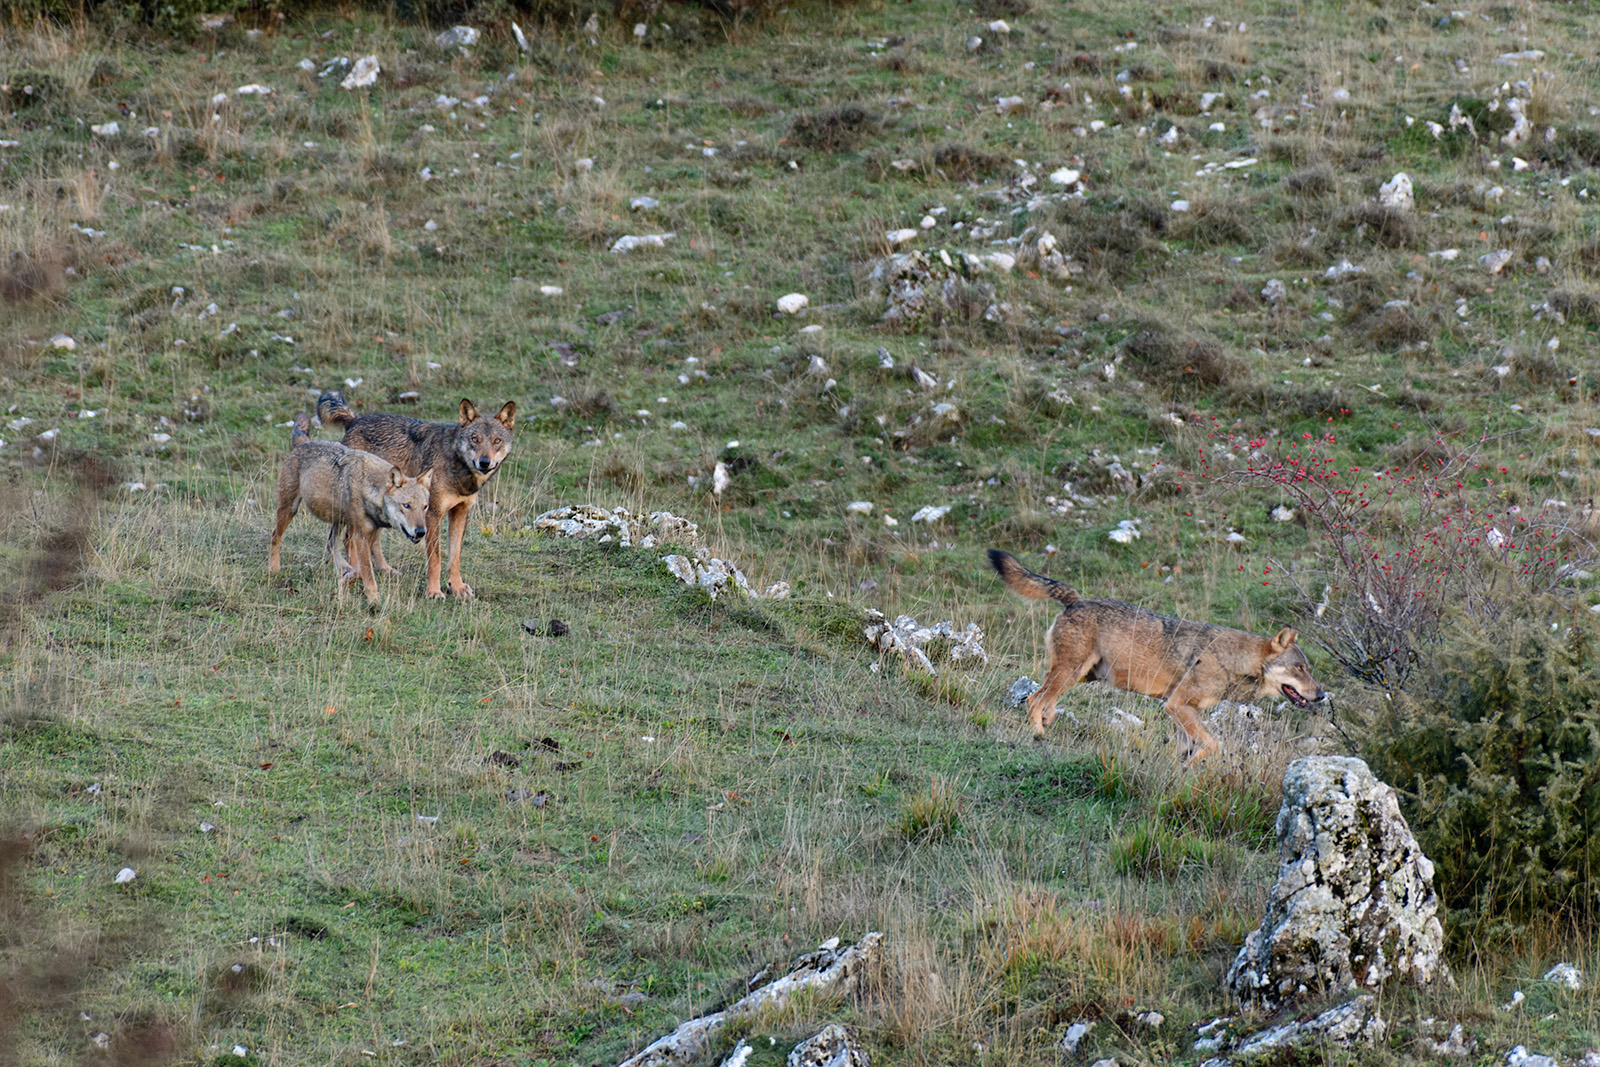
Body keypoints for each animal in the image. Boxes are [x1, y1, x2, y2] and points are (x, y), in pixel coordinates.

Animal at [269, 414, 432, 606]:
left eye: (425, 507)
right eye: (406, 506)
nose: (421, 532)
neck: (369, 487)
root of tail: (303, 443)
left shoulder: (369, 535)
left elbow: (361, 568)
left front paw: (350, 578)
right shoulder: (361, 536)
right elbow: (367, 572)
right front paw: (374, 601)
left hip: (339, 520)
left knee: (331, 544)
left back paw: (343, 569)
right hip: (289, 510)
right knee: (275, 536)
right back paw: (274, 570)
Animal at [317, 391, 516, 600]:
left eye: (496, 441)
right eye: (475, 439)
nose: (484, 462)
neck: (458, 469)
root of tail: (355, 420)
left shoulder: (460, 513)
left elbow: (455, 557)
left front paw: (457, 588)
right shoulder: (432, 514)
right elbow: (436, 558)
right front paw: (434, 592)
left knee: (372, 541)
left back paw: (385, 569)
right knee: (349, 541)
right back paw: (358, 573)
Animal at [988, 549, 1325, 762]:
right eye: (1299, 668)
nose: (1321, 695)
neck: (1232, 660)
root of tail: (1077, 599)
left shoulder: (1181, 710)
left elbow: (1192, 747)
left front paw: (1185, 768)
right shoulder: (1177, 706)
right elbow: (1213, 744)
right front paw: (1194, 763)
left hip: (1083, 676)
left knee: (1046, 700)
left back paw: (1048, 722)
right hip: (1072, 673)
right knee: (1034, 699)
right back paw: (1038, 735)